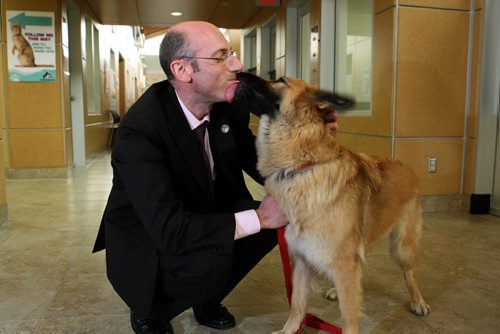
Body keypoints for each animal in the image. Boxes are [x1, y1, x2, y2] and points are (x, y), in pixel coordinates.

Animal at [234, 73, 430, 334]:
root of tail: (404, 165)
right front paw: (289, 330)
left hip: (402, 246)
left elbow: (349, 319)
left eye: (281, 81)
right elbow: (297, 304)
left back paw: (417, 301)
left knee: (409, 272)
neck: (303, 166)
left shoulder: (343, 263)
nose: (239, 73)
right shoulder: (302, 259)